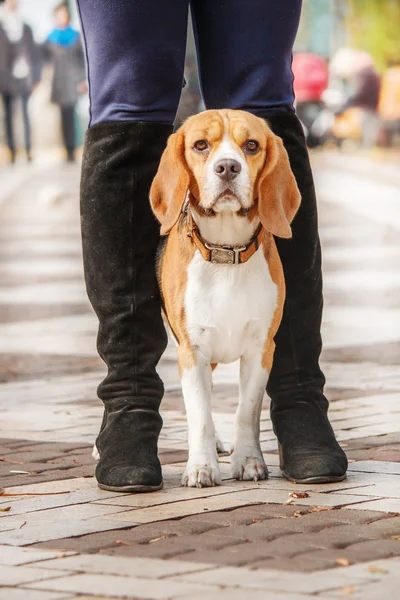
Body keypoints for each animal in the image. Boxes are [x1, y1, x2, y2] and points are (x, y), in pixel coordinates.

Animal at [150, 110, 300, 490]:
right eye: (201, 145)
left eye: (252, 145)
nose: (228, 167)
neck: (226, 253)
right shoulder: (192, 351)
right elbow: (200, 414)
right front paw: (201, 467)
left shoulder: (261, 349)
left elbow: (247, 410)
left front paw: (247, 460)